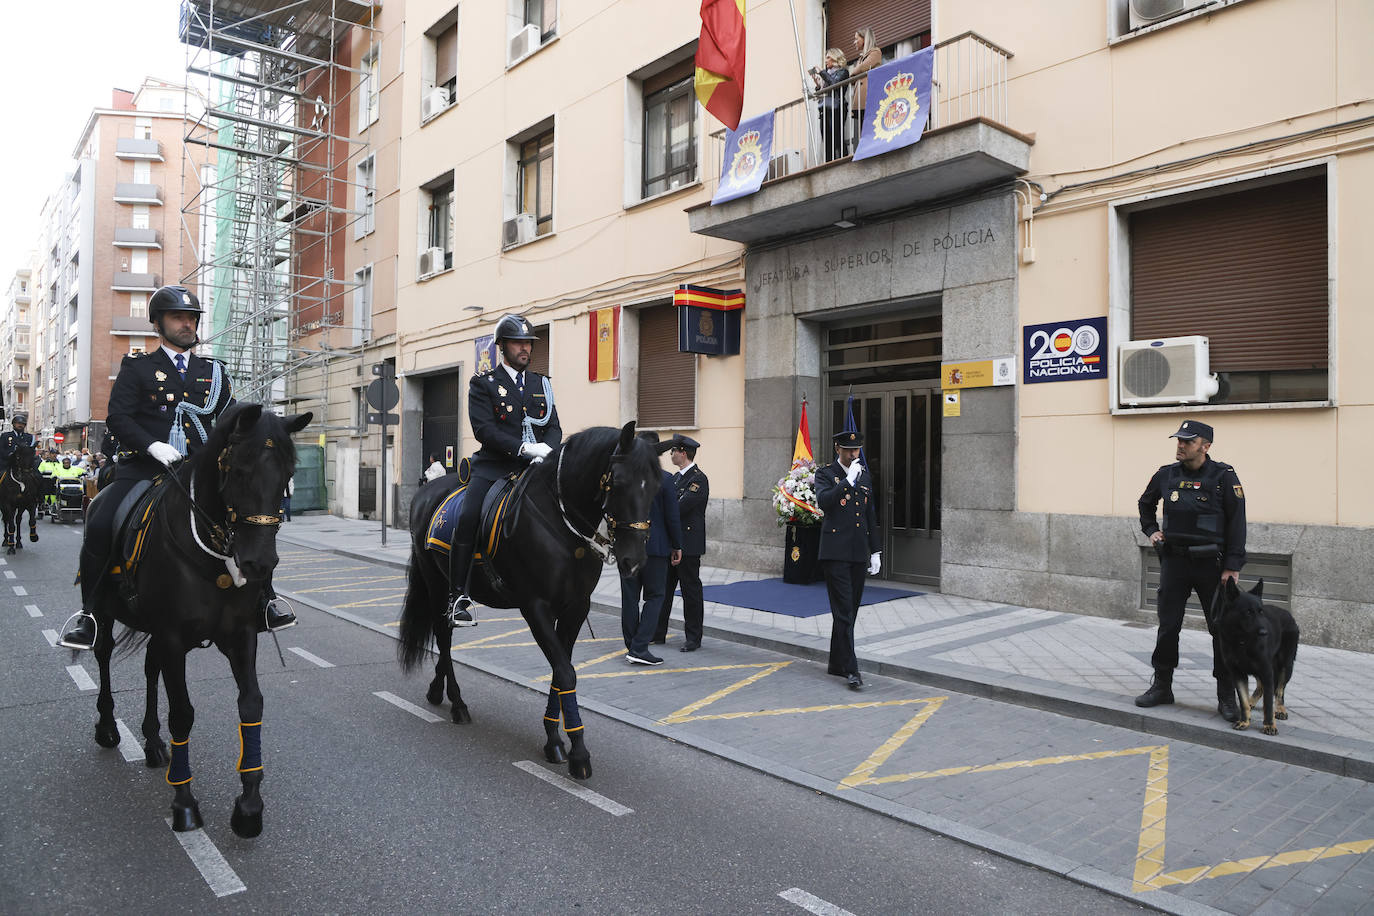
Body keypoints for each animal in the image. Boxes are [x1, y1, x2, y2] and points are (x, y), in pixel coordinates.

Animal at [84, 403, 313, 834]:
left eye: (289, 474)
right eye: (238, 470)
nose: (259, 563)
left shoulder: (240, 636)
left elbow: (251, 704)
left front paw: (249, 806)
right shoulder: (174, 637)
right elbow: (183, 713)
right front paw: (185, 802)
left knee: (150, 667)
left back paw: (154, 742)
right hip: (104, 612)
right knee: (103, 653)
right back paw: (107, 726)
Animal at [398, 422, 659, 780]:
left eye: (656, 487)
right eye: (617, 482)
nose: (634, 561)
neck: (563, 529)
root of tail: (427, 491)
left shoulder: (576, 608)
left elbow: (561, 671)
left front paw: (554, 739)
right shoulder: (535, 607)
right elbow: (565, 673)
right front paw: (578, 752)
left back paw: (437, 691)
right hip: (436, 583)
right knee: (444, 635)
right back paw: (457, 703)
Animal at [1214, 579, 1297, 736]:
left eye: (1261, 612)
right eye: (1248, 612)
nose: (1264, 633)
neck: (1242, 641)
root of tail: (1288, 613)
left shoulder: (1266, 671)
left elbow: (1268, 704)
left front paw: (1269, 725)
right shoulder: (1238, 674)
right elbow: (1243, 701)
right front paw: (1244, 721)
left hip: (1286, 665)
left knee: (1279, 691)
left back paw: (1280, 709)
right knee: (1261, 687)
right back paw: (1252, 701)